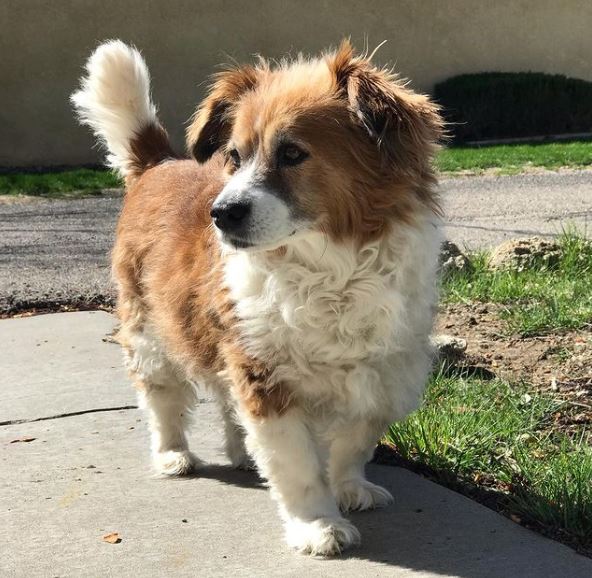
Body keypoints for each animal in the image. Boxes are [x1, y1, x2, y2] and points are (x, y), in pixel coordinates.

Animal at [71, 40, 444, 552]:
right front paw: (317, 524)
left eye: (292, 152)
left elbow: (354, 440)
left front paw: (349, 486)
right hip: (152, 335)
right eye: (234, 155)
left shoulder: (383, 369)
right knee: (163, 401)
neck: (330, 267)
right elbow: (298, 465)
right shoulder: (265, 376)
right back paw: (172, 454)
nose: (221, 213)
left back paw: (241, 451)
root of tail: (161, 163)